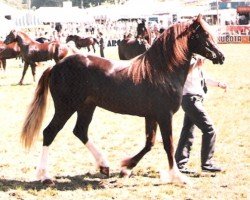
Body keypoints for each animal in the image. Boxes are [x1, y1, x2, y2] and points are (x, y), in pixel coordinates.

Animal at [20, 14, 225, 186]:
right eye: (204, 35)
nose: (221, 57)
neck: (161, 71)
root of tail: (56, 67)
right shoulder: (164, 116)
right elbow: (168, 144)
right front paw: (178, 177)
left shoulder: (151, 116)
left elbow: (149, 143)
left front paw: (126, 168)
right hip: (66, 108)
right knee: (50, 132)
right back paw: (44, 176)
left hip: (87, 107)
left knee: (80, 131)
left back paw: (104, 166)